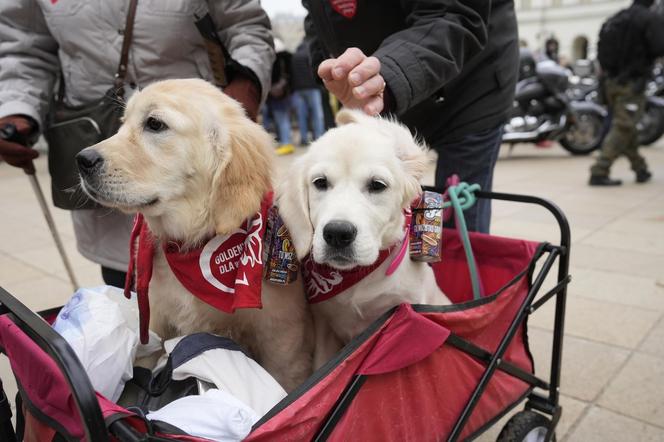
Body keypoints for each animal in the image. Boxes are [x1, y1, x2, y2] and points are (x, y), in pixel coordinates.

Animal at [76, 78, 316, 390]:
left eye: (154, 124)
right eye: (123, 122)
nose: (81, 159)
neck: (195, 243)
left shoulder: (283, 343)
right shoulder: (156, 319)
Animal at [278, 109, 448, 368]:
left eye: (377, 185)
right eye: (320, 182)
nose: (337, 234)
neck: (358, 278)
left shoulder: (411, 319)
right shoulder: (324, 327)